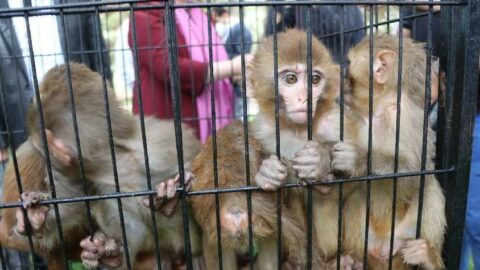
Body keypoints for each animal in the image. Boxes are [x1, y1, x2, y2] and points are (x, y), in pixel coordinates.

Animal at [18, 62, 202, 268]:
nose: (49, 174)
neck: (108, 161)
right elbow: (71, 200)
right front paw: (35, 218)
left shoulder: (162, 141)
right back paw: (112, 258)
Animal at [330, 34, 446, 270]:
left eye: (348, 64)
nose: (338, 75)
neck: (379, 109)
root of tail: (383, 247)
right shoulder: (353, 118)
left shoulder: (405, 118)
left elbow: (415, 172)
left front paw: (360, 159)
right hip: (364, 239)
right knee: (357, 194)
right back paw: (349, 260)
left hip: (405, 235)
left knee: (429, 186)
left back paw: (428, 259)